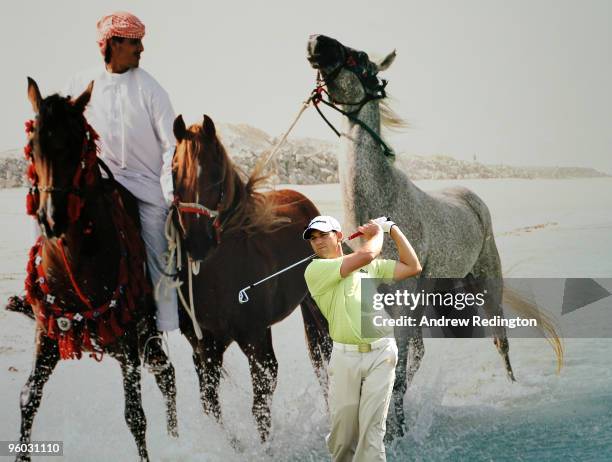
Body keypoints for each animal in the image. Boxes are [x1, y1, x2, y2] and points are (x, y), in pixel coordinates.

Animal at [15, 77, 178, 460]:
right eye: (33, 144)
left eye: (79, 143)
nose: (52, 217)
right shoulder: (48, 335)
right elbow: (29, 399)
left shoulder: (128, 341)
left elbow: (135, 417)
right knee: (165, 374)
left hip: (144, 339)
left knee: (167, 377)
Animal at [167, 113, 330, 442]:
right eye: (175, 171)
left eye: (216, 174)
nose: (198, 242)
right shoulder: (206, 346)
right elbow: (211, 404)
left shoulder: (255, 339)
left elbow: (261, 407)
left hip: (314, 306)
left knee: (324, 360)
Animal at [308, 34, 560, 438]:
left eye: (359, 57)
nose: (317, 41)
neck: (381, 204)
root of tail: (469, 195)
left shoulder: (404, 298)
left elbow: (398, 371)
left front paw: (396, 431)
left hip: (487, 282)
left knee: (500, 338)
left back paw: (511, 386)